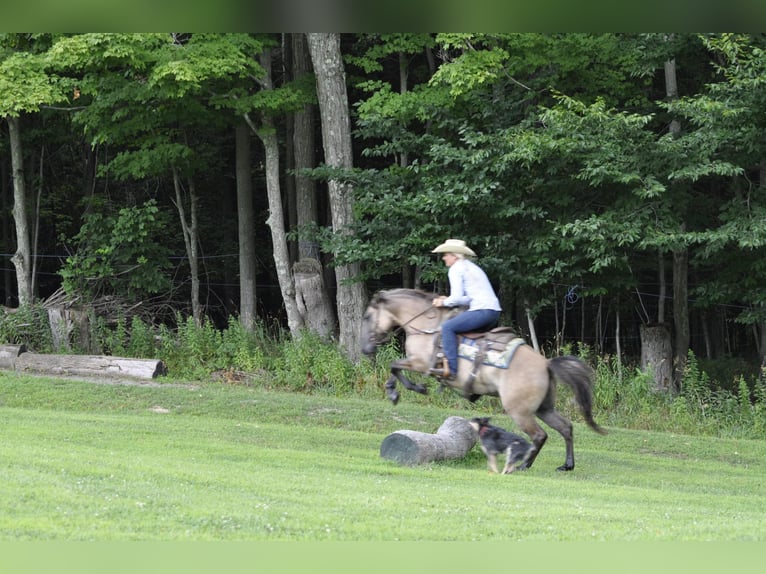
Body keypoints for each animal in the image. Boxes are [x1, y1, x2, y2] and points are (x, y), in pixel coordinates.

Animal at [364, 288, 608, 472]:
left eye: (367, 316)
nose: (366, 349)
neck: (426, 326)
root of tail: (546, 364)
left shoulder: (420, 363)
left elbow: (394, 365)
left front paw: (401, 390)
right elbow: (395, 366)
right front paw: (402, 389)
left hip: (519, 411)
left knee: (540, 435)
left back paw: (523, 465)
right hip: (543, 408)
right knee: (565, 428)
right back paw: (566, 465)